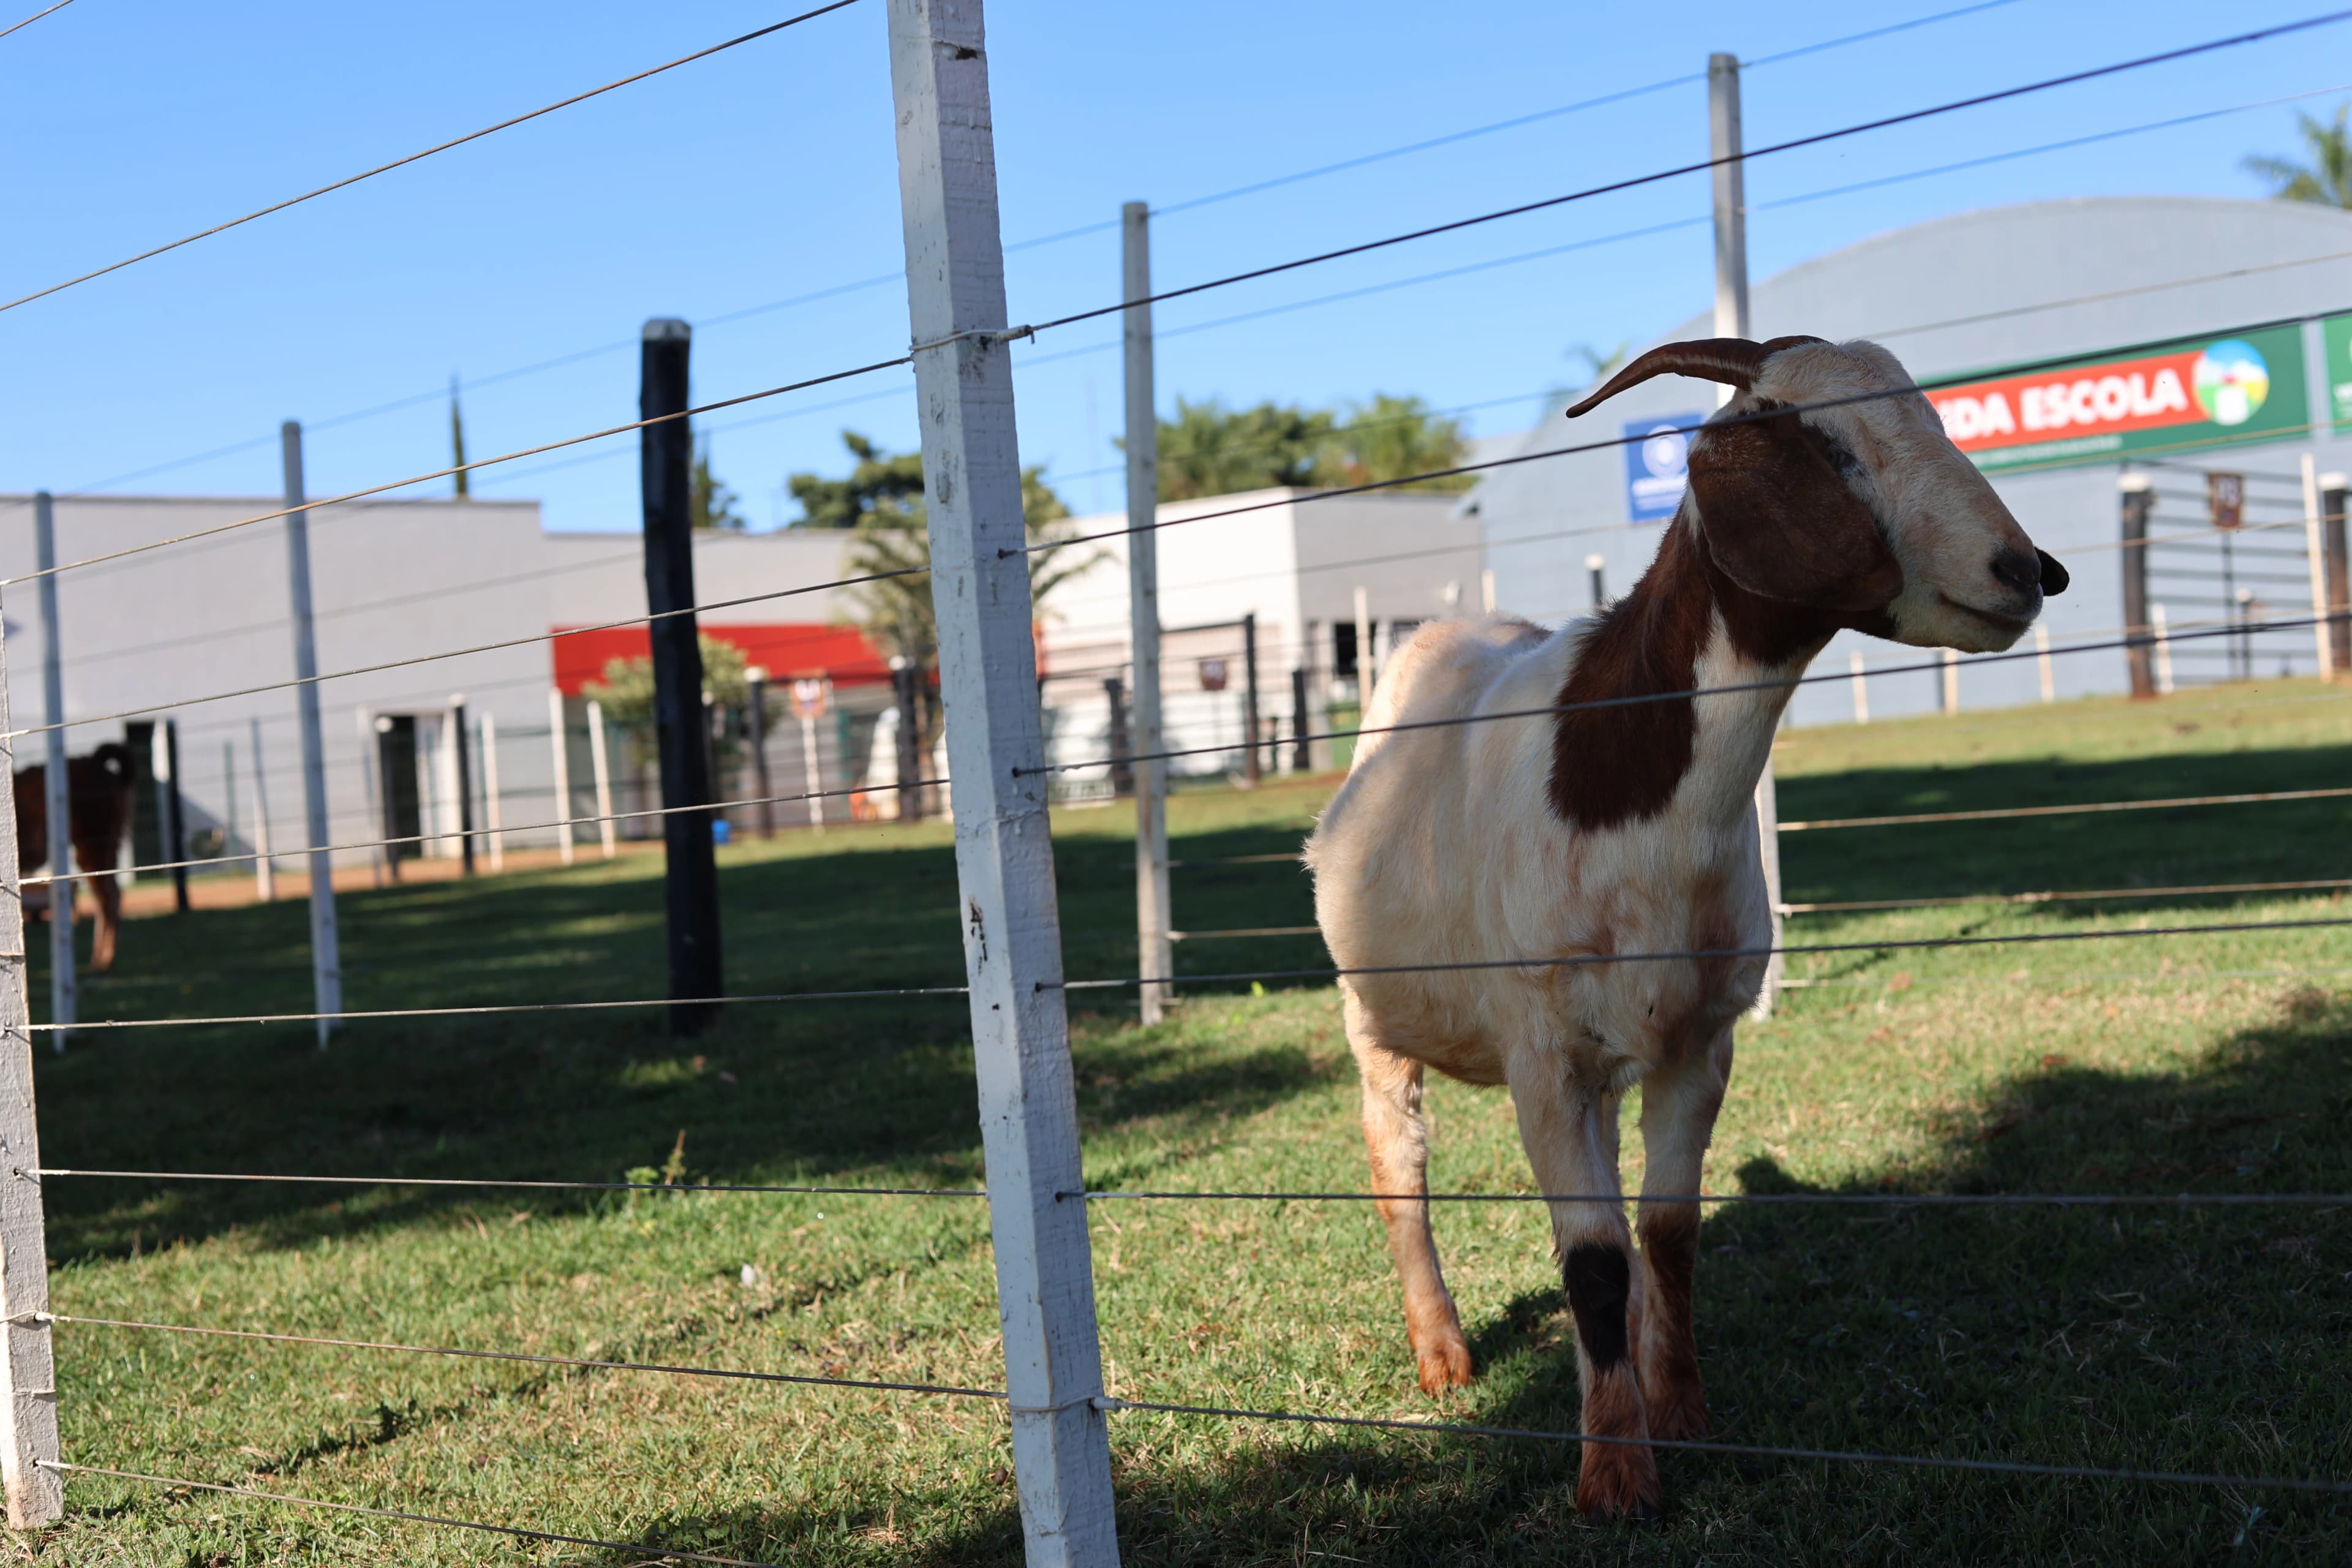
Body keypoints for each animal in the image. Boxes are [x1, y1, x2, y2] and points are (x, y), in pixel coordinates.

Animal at [14, 742, 137, 971]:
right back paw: (99, 958)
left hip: (92, 844)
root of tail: (97, 763)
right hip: (107, 845)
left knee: (107, 896)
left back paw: (103, 961)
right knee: (110, 894)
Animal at [1305, 337, 2068, 1520]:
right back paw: (1443, 1357)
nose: (2025, 572)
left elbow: (1663, 1234)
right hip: (1372, 1017)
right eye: (1828, 445)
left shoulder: (1702, 1038)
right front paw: (1615, 1476)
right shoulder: (1541, 1052)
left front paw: (1680, 1414)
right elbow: (1590, 1258)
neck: (1632, 786)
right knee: (1400, 1161)